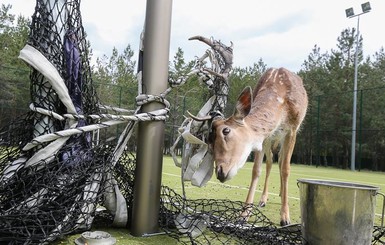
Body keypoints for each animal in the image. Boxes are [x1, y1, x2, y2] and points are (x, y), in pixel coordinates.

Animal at [191, 67, 306, 226]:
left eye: (226, 131)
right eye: (209, 140)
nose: (220, 172)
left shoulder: (292, 129)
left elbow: (286, 169)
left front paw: (285, 217)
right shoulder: (263, 137)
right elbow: (256, 170)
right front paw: (244, 214)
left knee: (281, 161)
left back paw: (281, 194)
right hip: (271, 139)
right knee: (271, 161)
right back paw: (264, 199)